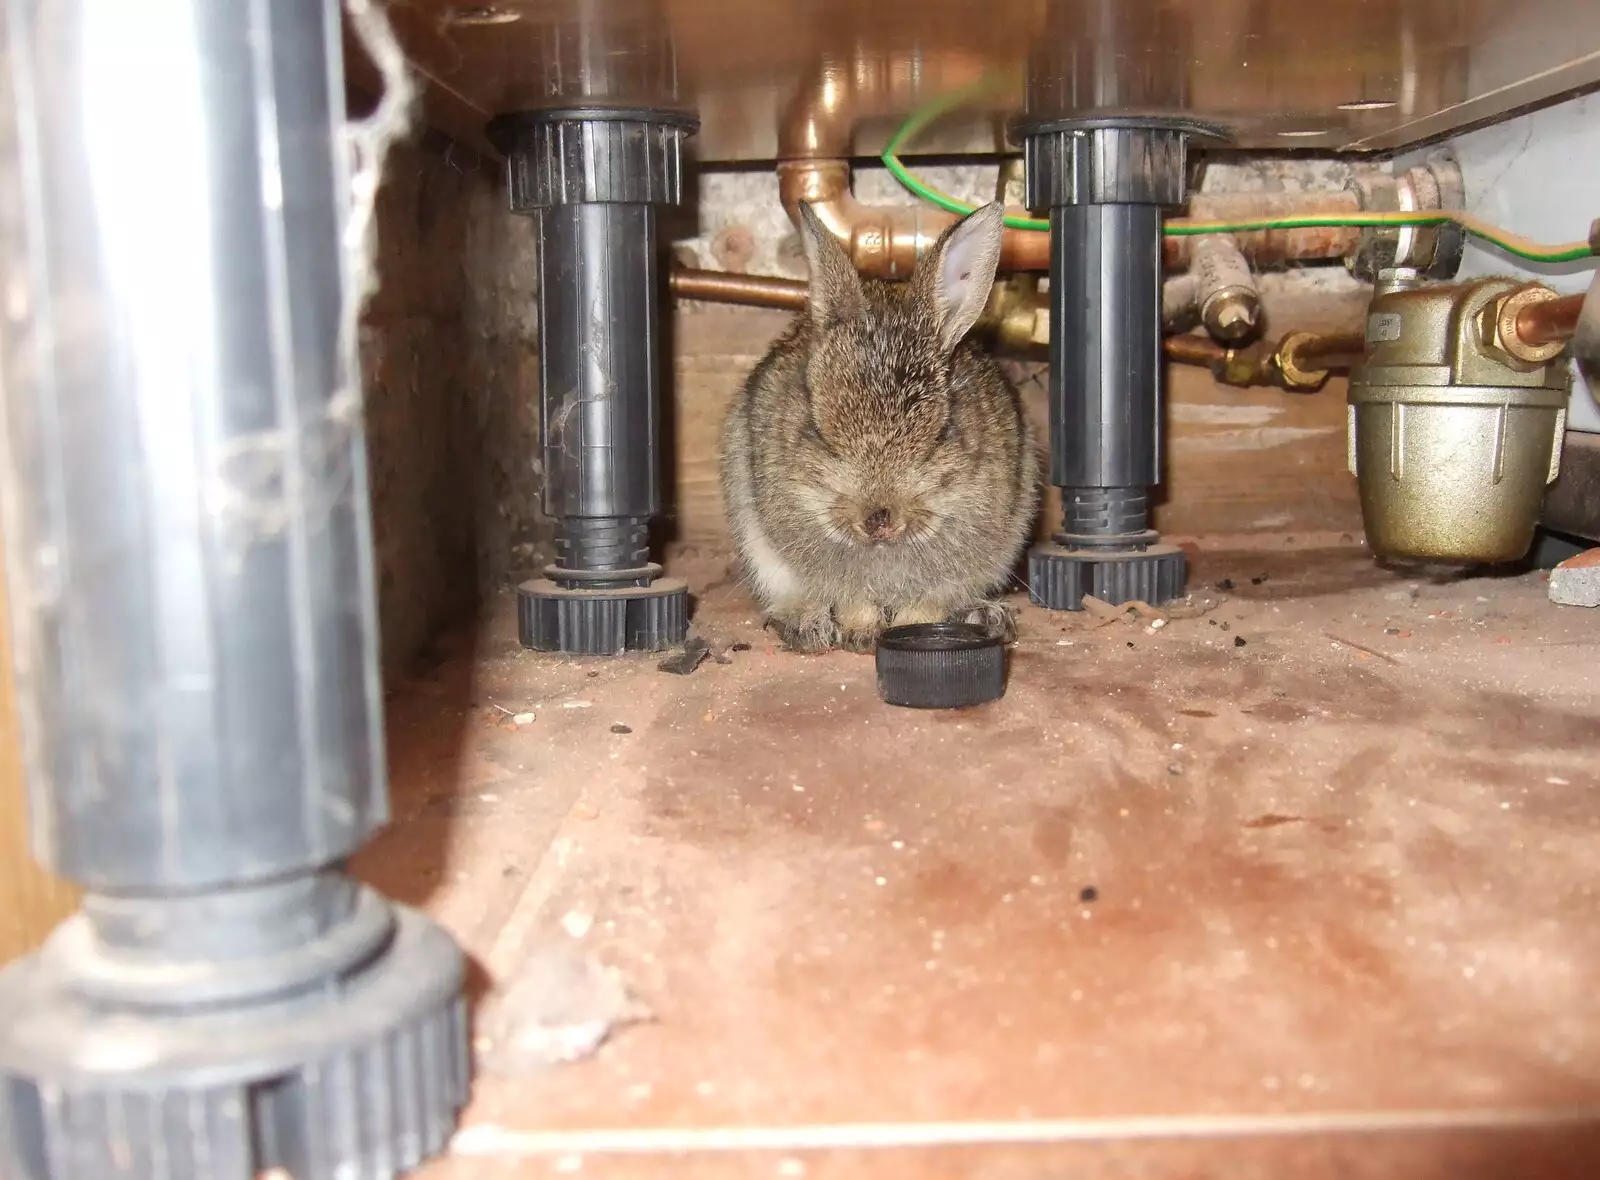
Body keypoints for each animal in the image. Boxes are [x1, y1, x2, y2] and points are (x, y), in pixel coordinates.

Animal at [720, 196, 1043, 649]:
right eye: (818, 430)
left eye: (942, 433)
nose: (878, 520)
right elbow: (853, 599)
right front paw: (861, 633)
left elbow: (925, 606)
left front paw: (906, 629)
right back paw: (806, 624)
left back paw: (984, 613)